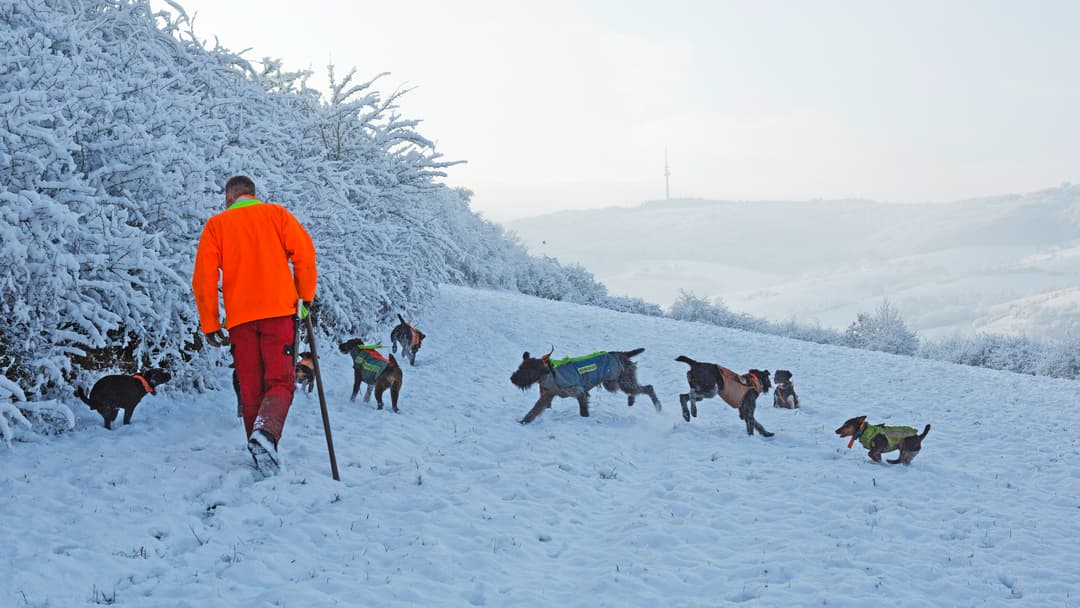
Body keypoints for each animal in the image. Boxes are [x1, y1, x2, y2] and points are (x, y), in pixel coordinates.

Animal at [509, 347, 660, 423]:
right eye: (520, 367)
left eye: (527, 370)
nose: (512, 379)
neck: (551, 373)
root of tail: (621, 353)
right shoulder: (546, 397)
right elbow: (533, 411)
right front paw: (523, 422)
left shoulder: (579, 392)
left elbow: (583, 411)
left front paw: (585, 419)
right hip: (613, 382)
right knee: (636, 390)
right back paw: (632, 400)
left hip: (620, 381)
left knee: (648, 388)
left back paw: (658, 406)